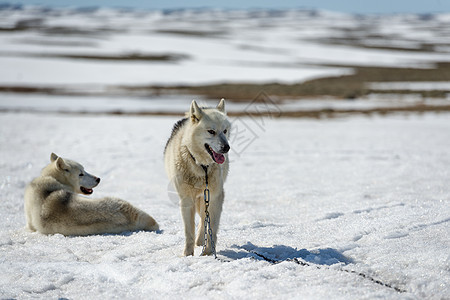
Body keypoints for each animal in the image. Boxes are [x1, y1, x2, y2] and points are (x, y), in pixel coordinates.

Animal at [164, 98, 230, 255]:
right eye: (211, 131)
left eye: (225, 131)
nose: (226, 147)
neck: (202, 167)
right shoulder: (186, 200)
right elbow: (189, 232)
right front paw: (188, 255)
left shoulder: (216, 196)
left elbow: (212, 226)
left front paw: (207, 253)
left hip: (205, 199)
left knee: (204, 220)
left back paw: (201, 242)